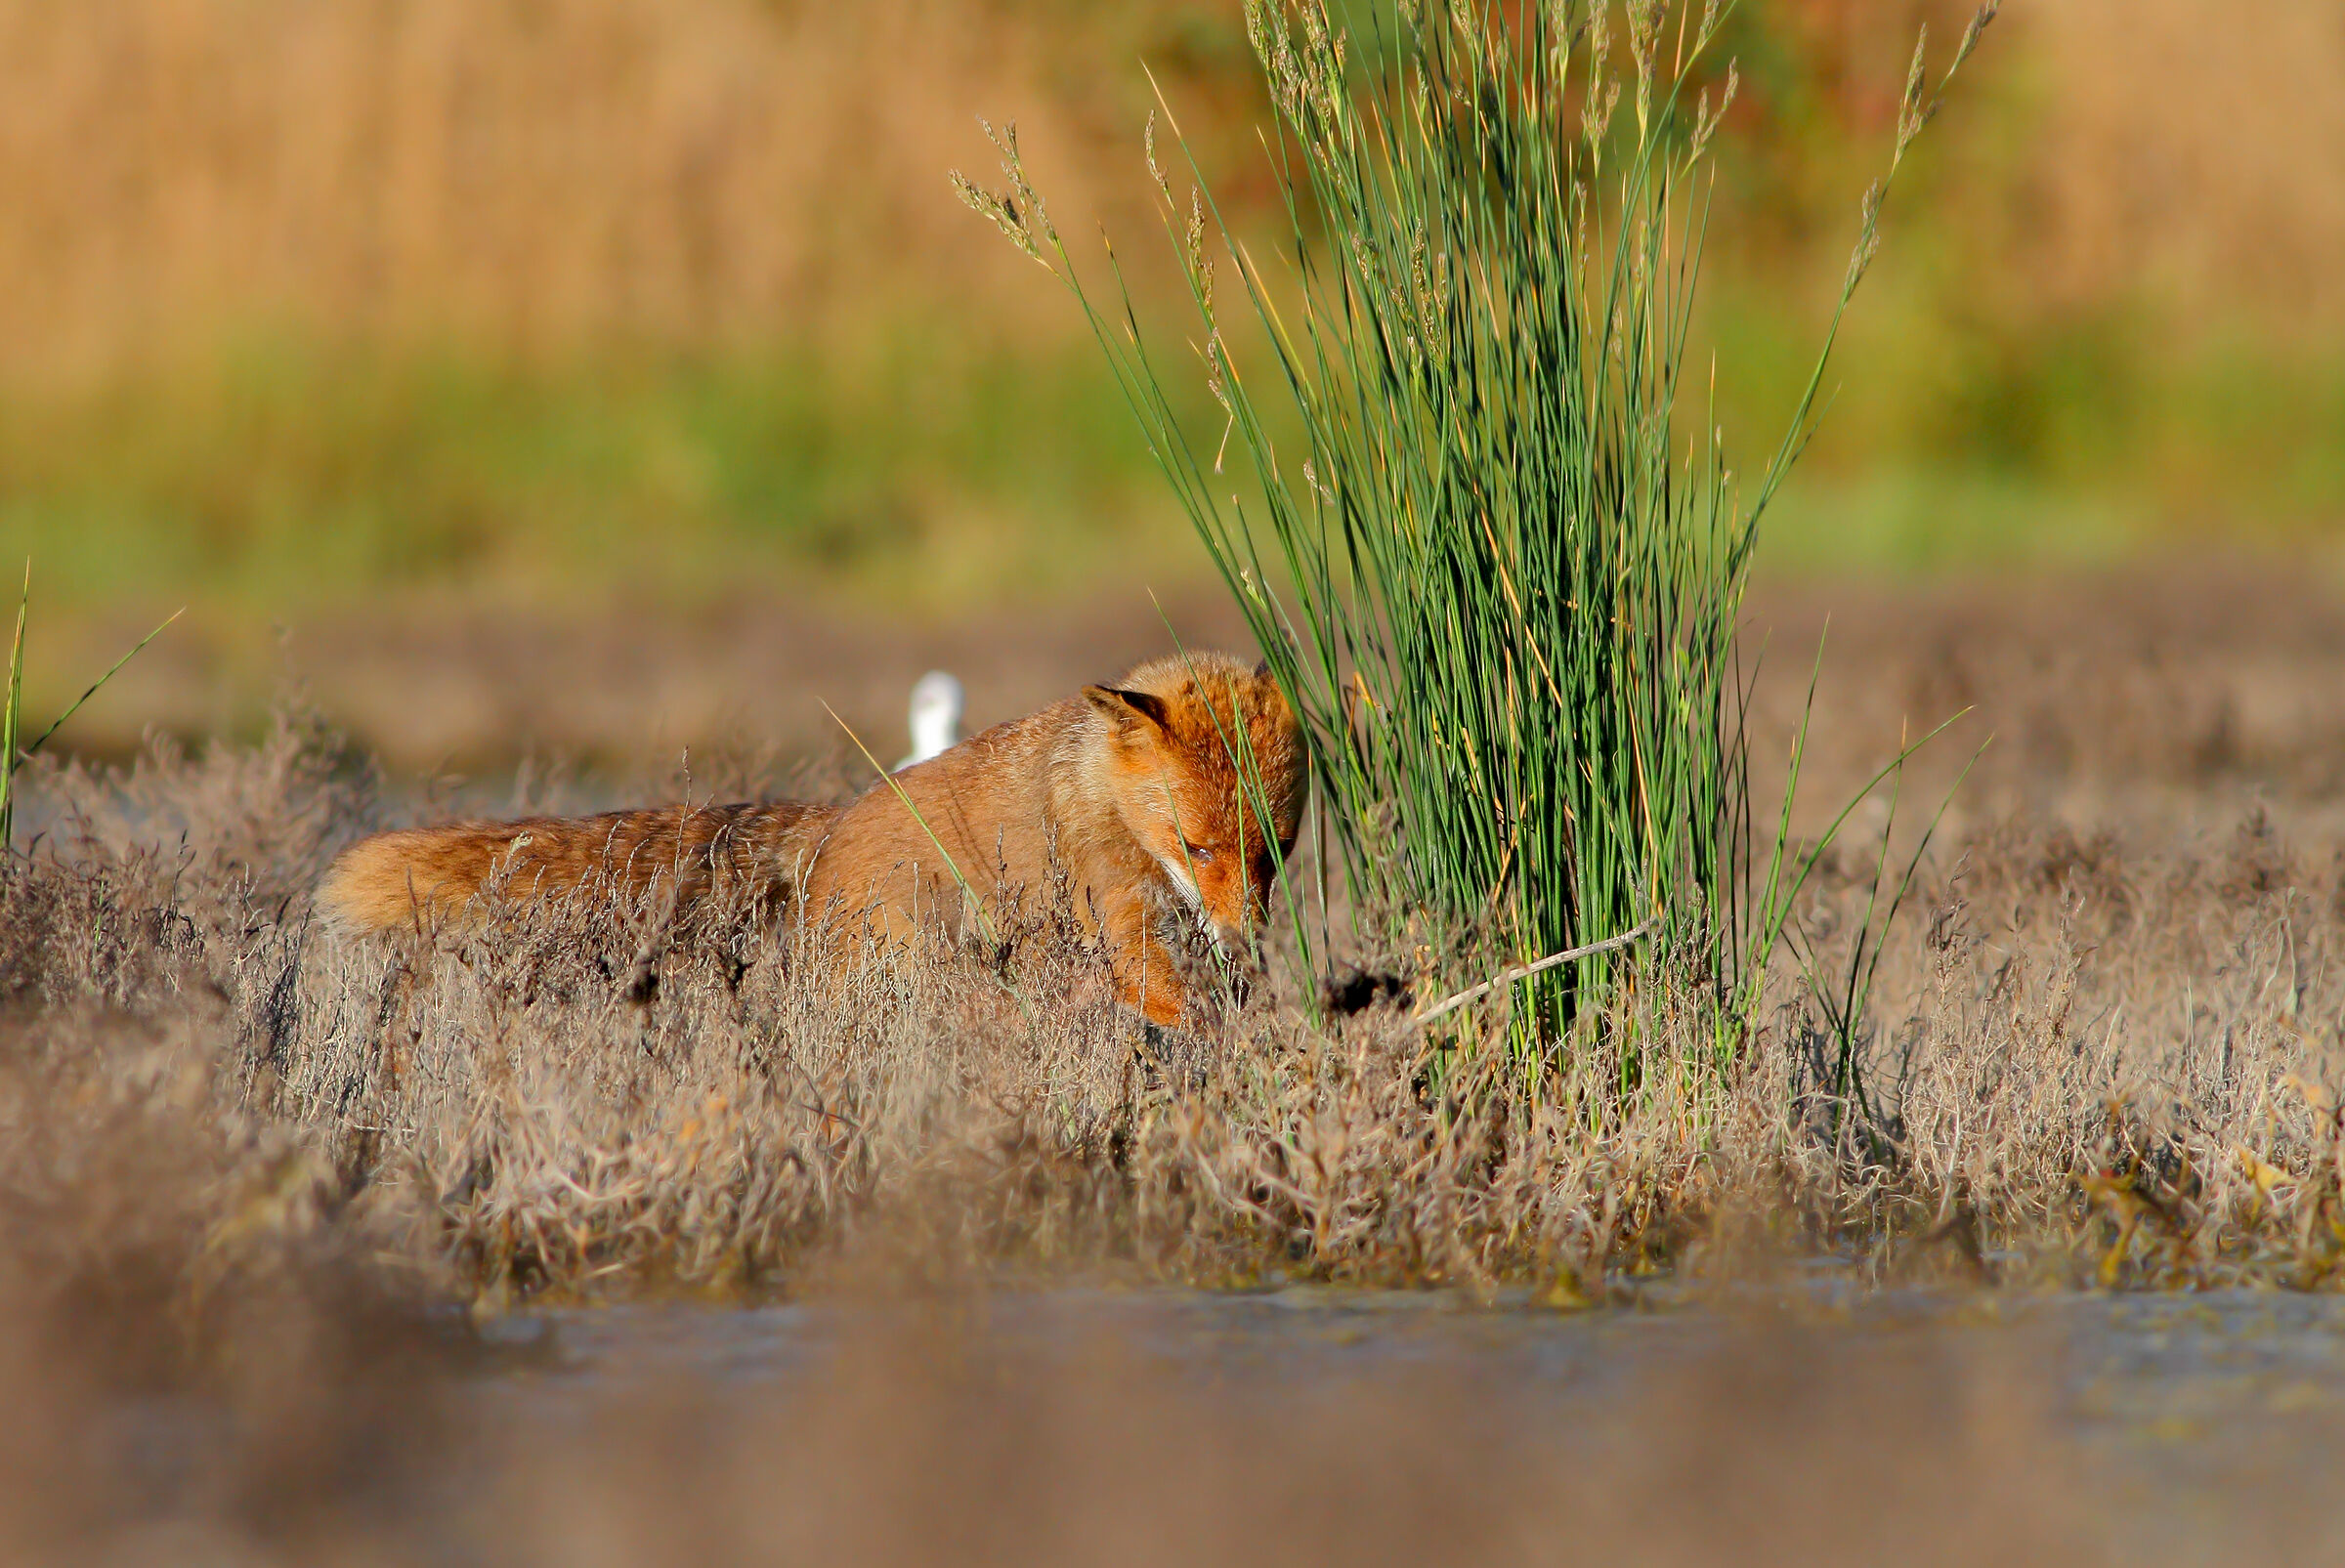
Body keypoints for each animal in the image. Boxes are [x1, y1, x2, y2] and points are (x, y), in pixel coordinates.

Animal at [316, 651, 1308, 1027]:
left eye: (1271, 854)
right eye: (1198, 848)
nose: (1246, 940)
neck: (1099, 790)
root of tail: (830, 822)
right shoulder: (1119, 912)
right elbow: (1178, 1001)